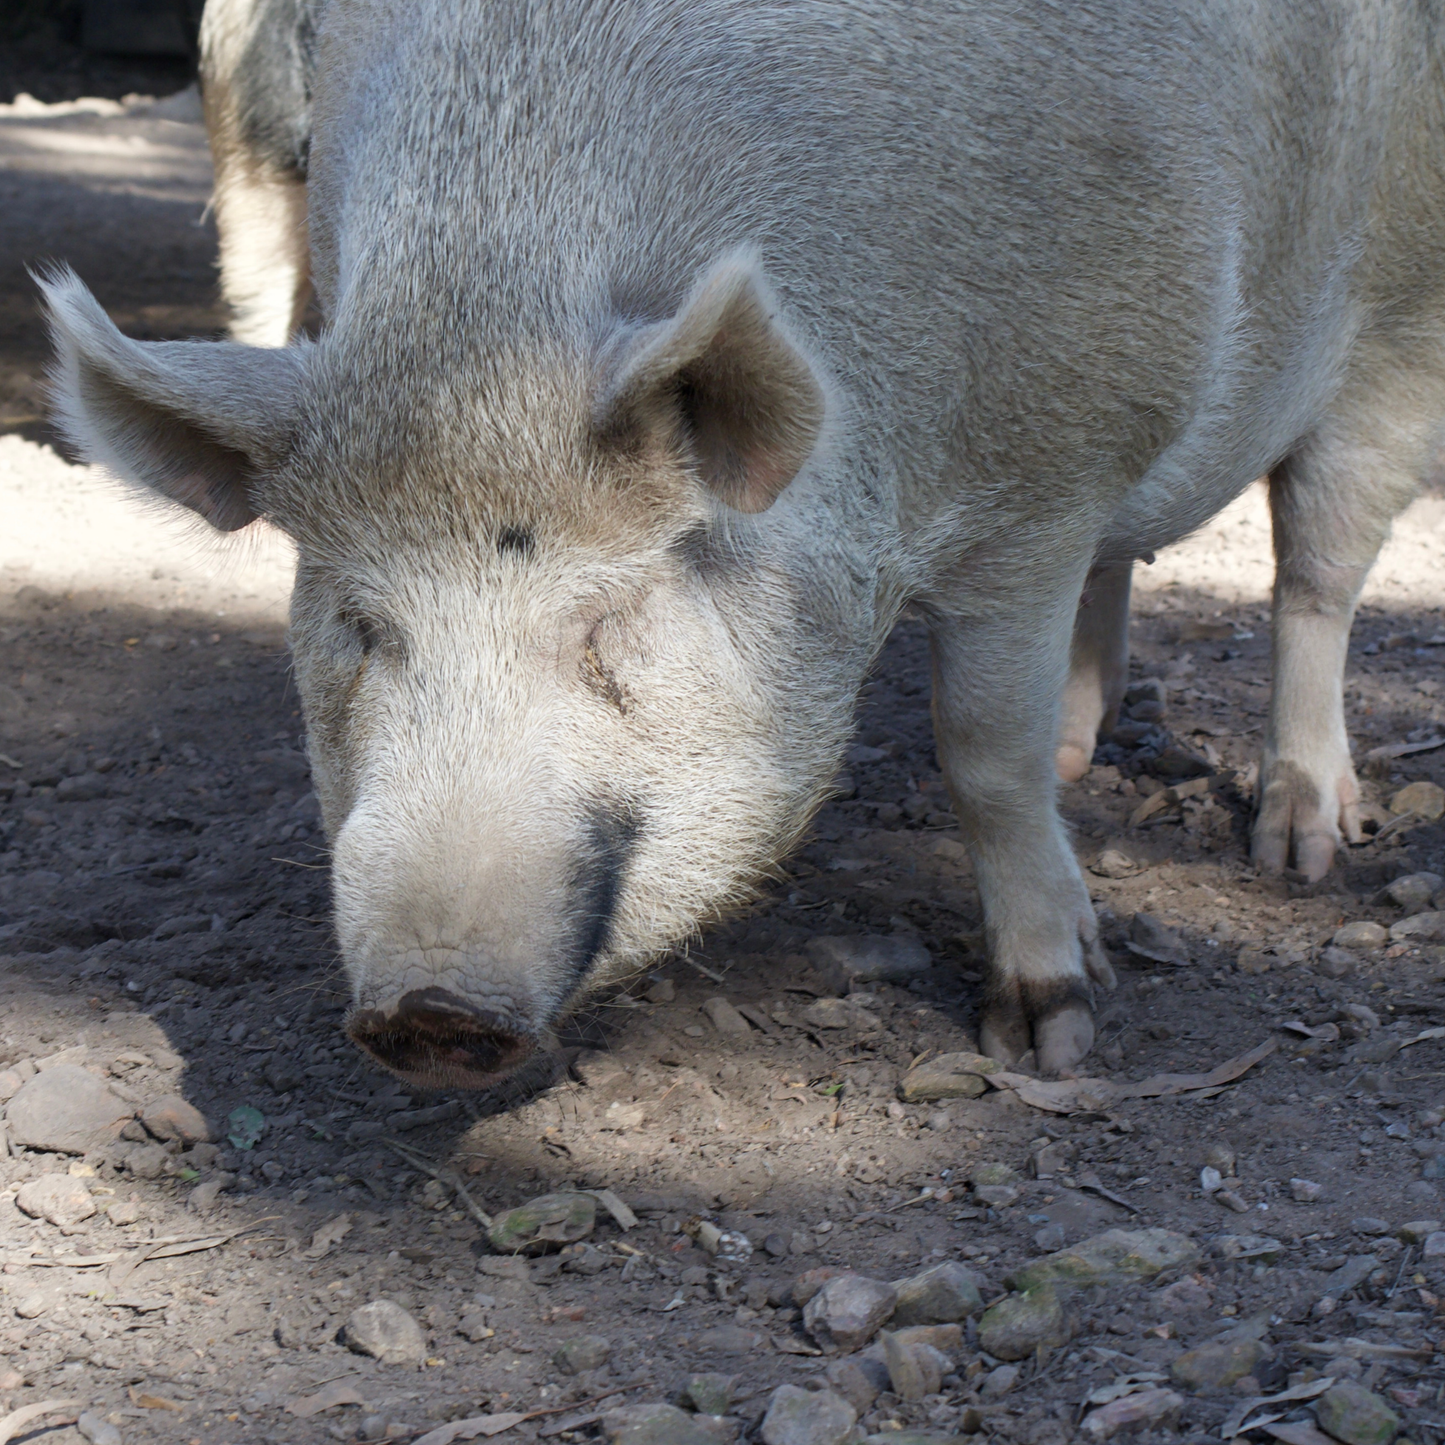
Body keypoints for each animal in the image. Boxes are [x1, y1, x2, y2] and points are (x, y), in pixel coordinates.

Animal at [40, 0, 1445, 1084]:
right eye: (360, 625)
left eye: (606, 618)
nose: (427, 1008)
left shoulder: (1039, 476)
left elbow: (980, 752)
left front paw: (1050, 1031)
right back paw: (1083, 750)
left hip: (1395, 316)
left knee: (1314, 570)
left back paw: (1301, 846)